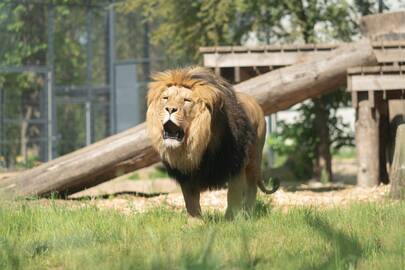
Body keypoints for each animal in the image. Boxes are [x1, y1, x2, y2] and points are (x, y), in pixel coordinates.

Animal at [145, 66, 278, 218]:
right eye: (165, 98)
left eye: (186, 100)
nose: (170, 109)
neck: (200, 144)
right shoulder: (187, 174)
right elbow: (191, 202)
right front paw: (195, 221)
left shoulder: (236, 166)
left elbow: (233, 196)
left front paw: (230, 219)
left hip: (254, 160)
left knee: (252, 186)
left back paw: (248, 214)